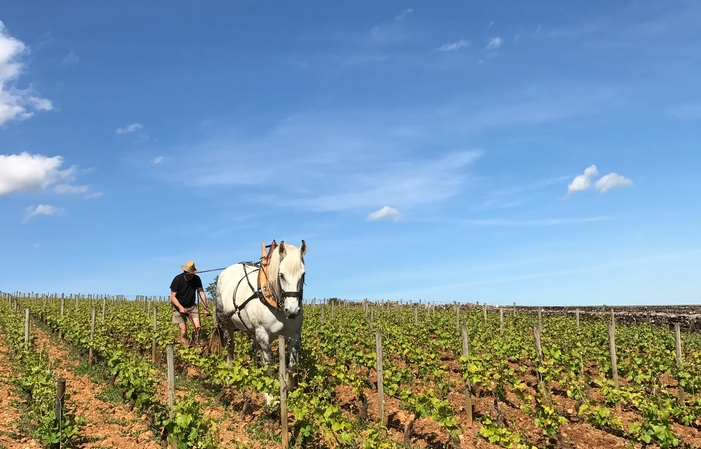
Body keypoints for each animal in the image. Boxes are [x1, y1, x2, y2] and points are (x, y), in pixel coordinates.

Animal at [215, 240, 304, 390]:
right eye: (281, 275)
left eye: (303, 274)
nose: (292, 311)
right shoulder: (263, 334)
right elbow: (269, 365)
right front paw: (270, 392)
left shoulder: (295, 334)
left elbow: (292, 366)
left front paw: (289, 388)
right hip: (227, 323)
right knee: (230, 348)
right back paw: (229, 376)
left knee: (254, 350)